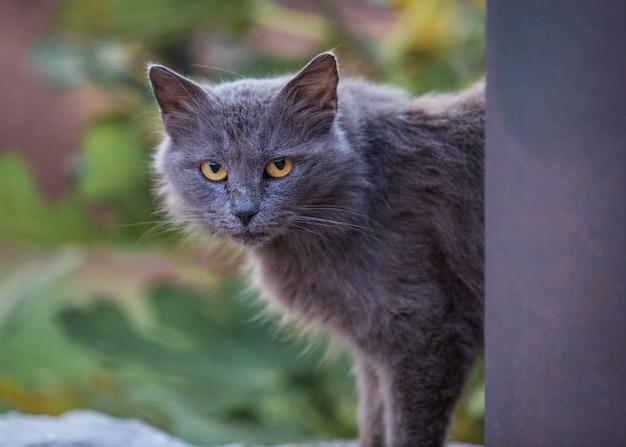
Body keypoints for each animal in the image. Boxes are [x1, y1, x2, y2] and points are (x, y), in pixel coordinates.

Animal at [149, 53, 486, 447]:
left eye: (280, 166)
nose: (245, 212)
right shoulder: (374, 341)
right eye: (214, 169)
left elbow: (407, 429)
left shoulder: (424, 329)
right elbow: (373, 417)